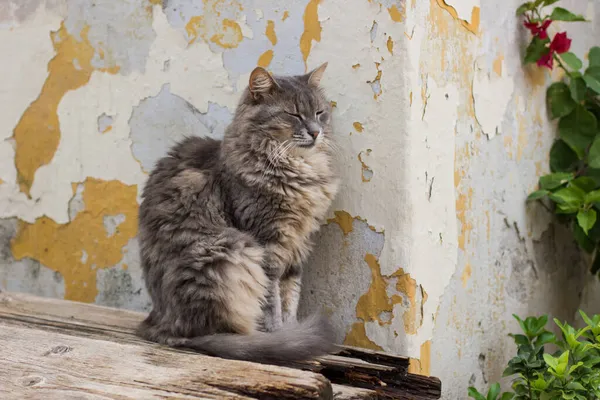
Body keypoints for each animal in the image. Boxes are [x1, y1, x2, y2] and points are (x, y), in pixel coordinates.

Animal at [137, 63, 342, 366]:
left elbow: (291, 298)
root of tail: (161, 324)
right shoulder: (268, 243)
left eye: (319, 112)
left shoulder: (297, 247)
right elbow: (273, 303)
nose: (316, 132)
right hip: (231, 251)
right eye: (293, 114)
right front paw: (281, 336)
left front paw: (293, 332)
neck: (298, 168)